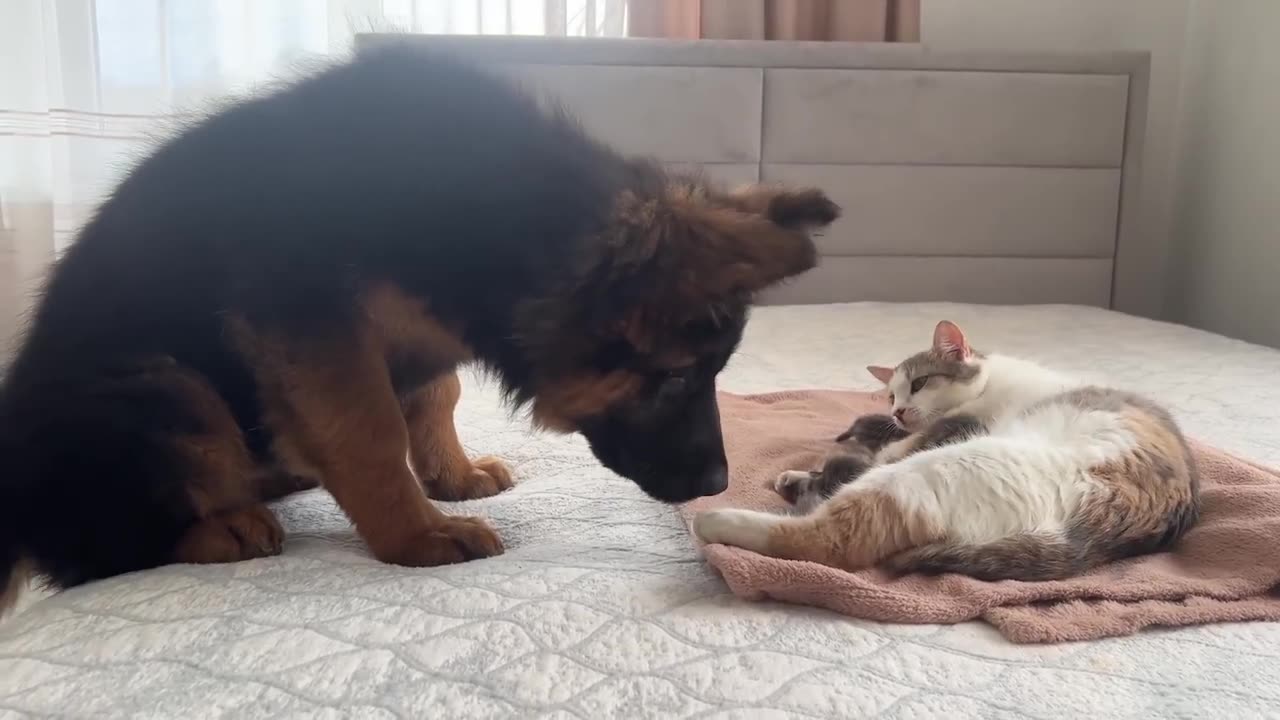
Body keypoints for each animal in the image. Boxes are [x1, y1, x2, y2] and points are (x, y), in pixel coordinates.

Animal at [0, 43, 839, 604]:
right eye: (673, 377)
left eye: (714, 373)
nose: (718, 484)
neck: (498, 212)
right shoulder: (309, 321)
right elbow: (368, 431)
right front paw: (415, 532)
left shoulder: (419, 331)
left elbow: (435, 397)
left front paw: (453, 475)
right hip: (167, 390)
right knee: (95, 550)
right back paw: (218, 526)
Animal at [691, 322, 1198, 579]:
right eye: (890, 395)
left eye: (918, 384)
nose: (898, 412)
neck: (990, 379)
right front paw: (807, 473)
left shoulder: (945, 429)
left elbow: (879, 456)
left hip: (938, 469)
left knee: (822, 541)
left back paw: (716, 519)